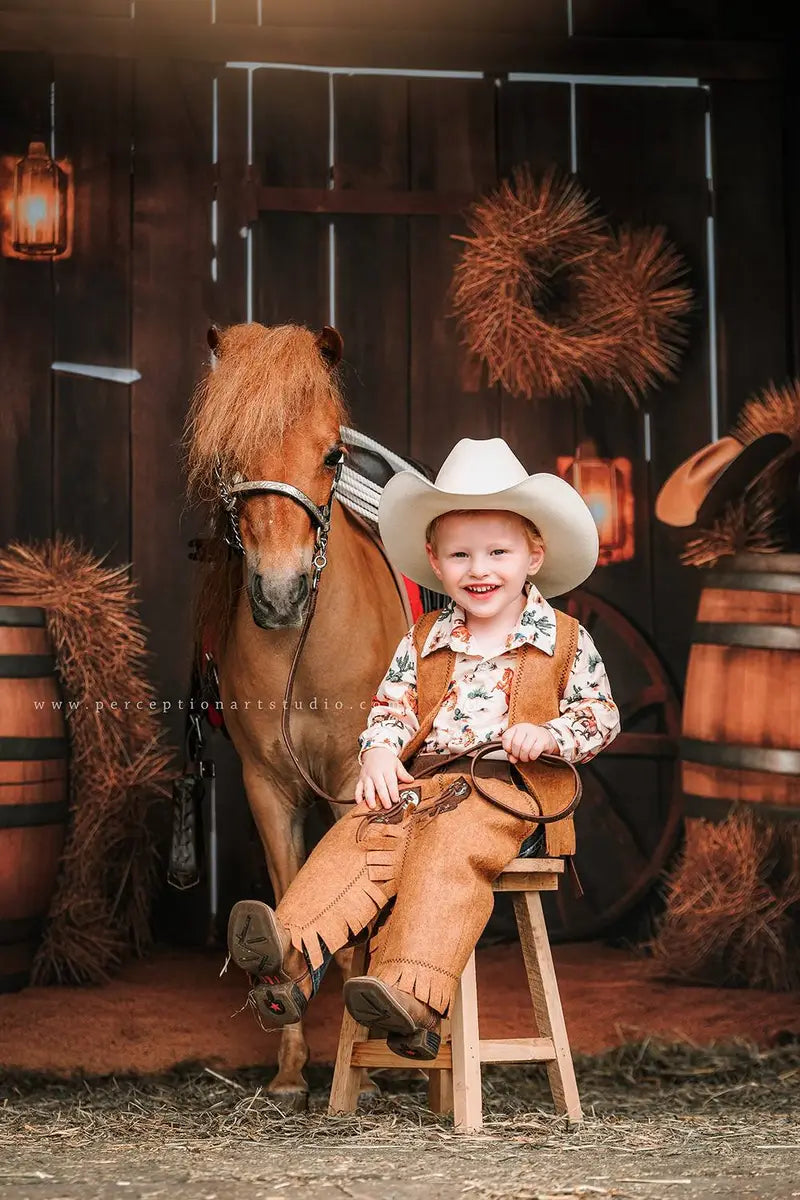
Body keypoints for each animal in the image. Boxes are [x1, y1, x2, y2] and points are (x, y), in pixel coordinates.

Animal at [184, 321, 410, 1104]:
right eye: (229, 458)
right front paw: (290, 1070)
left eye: (331, 454)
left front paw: (362, 1066)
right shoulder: (269, 788)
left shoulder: (353, 789)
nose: (279, 593)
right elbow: (290, 911)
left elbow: (357, 930)